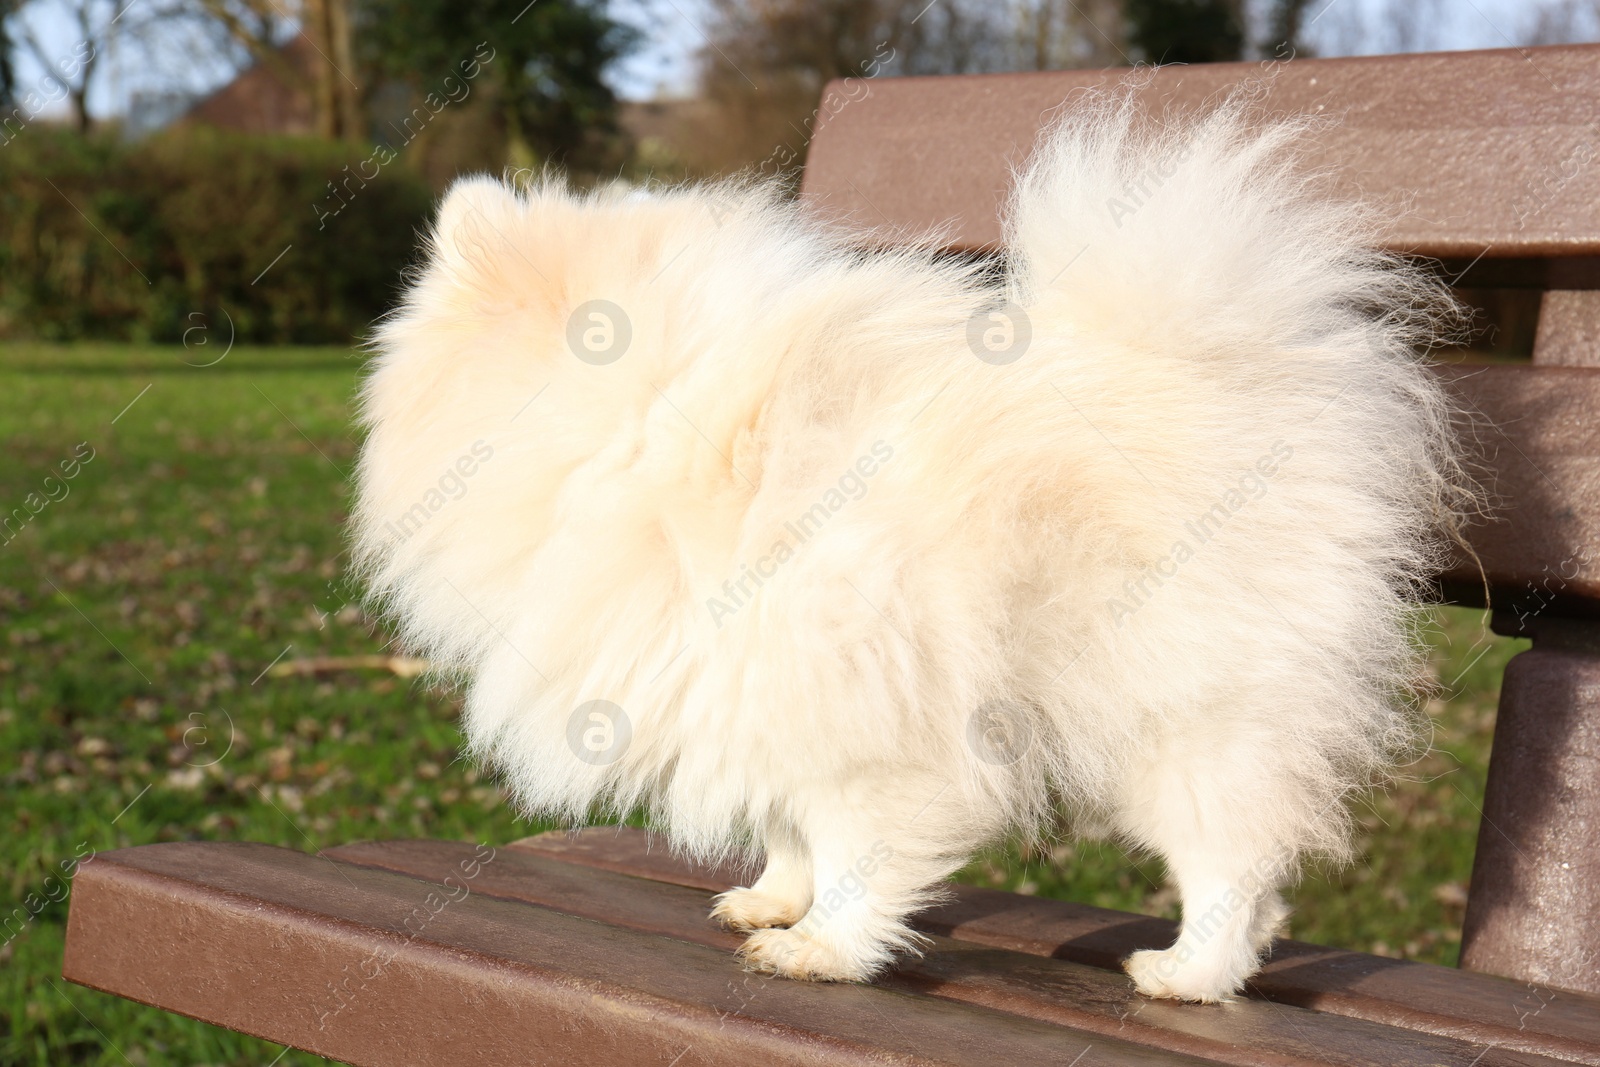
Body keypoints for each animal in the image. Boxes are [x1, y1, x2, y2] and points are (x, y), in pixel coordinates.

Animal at [353, 95, 1472, 1004]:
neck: (651, 419)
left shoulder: (861, 692)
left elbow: (855, 840)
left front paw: (822, 947)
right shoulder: (758, 686)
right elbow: (790, 819)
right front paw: (773, 897)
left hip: (1184, 710)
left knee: (1232, 859)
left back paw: (1188, 972)